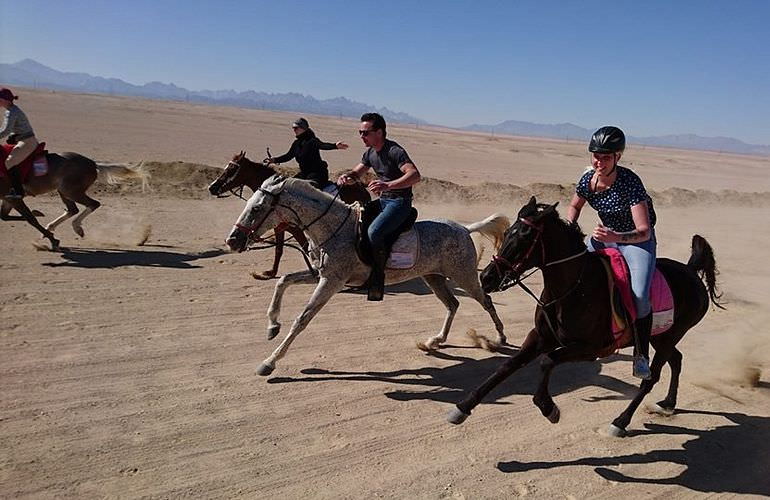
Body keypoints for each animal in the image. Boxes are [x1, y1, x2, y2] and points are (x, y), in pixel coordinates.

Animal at [0, 148, 148, 250]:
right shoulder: (8, 199)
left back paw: (76, 228)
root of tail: (93, 164)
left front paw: (54, 241)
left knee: (93, 204)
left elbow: (30, 219)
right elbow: (5, 216)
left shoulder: (13, 198)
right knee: (73, 209)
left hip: (70, 191)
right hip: (64, 191)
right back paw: (52, 227)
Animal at [207, 152, 368, 278]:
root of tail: (362, 187)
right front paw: (271, 272)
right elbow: (279, 249)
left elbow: (304, 247)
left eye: (232, 169)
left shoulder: (296, 229)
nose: (212, 187)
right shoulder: (279, 228)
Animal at [224, 174, 510, 374]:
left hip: (464, 276)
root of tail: (464, 228)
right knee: (453, 304)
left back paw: (499, 337)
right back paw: (435, 341)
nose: (232, 241)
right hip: (434, 277)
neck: (334, 229)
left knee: (485, 300)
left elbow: (302, 319)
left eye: (257, 208)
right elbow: (283, 281)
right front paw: (272, 325)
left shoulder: (331, 281)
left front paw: (270, 361)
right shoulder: (320, 275)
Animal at [444, 197, 720, 436]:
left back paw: (620, 422)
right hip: (660, 337)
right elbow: (507, 366)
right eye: (509, 231)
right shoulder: (540, 337)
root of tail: (691, 271)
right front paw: (462, 408)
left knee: (650, 378)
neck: (572, 289)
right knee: (677, 360)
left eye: (525, 237)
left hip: (668, 337)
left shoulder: (590, 348)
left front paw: (548, 407)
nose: (487, 277)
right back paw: (668, 403)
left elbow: (547, 361)